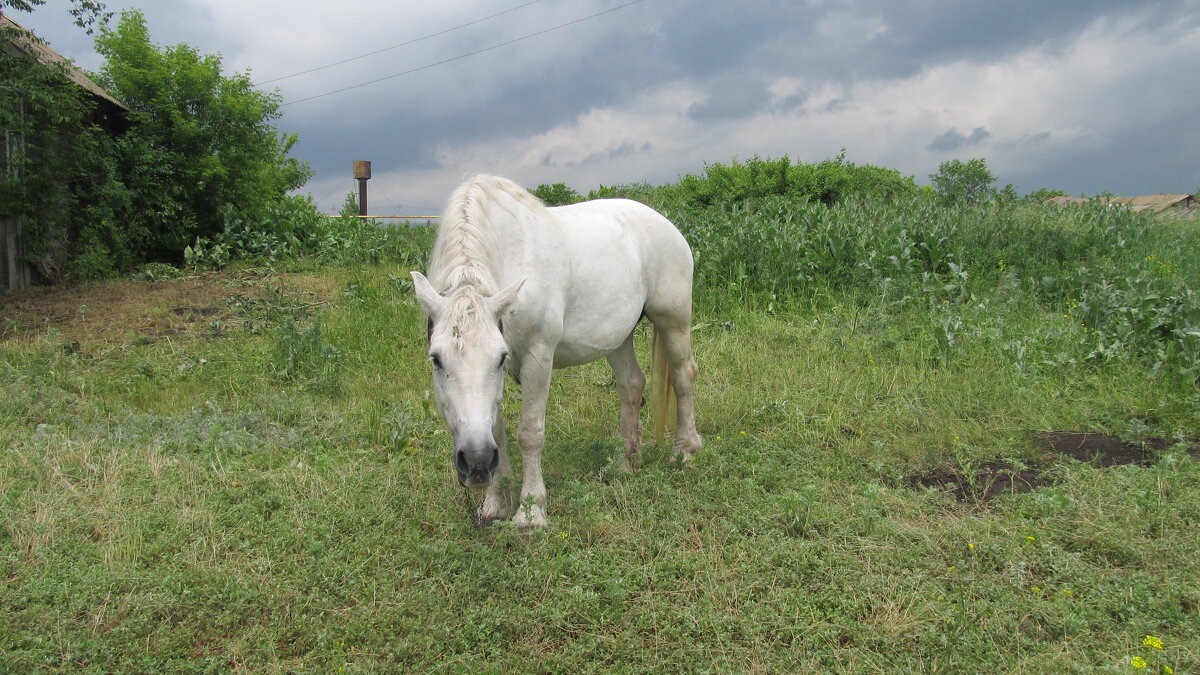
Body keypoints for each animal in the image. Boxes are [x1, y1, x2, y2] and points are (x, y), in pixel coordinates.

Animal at [412, 174, 700, 530]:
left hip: (673, 320)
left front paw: (531, 511)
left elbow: (530, 432)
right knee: (631, 385)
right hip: (618, 336)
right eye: (436, 359)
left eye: (500, 358)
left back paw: (684, 451)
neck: (509, 255)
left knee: (684, 376)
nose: (477, 462)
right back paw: (625, 461)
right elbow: (497, 430)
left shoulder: (538, 356)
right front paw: (496, 503)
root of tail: (666, 225)